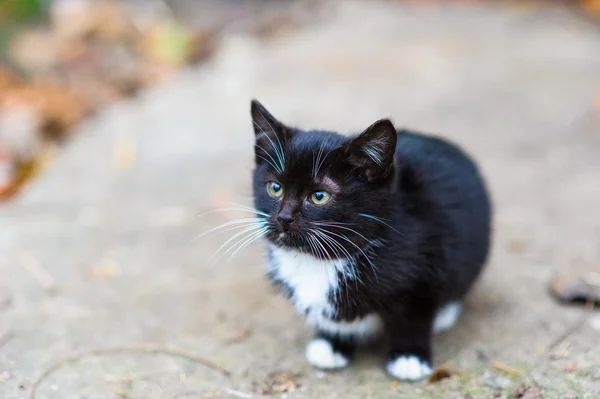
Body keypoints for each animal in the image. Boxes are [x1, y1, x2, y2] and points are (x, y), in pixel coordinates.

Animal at [251, 100, 490, 382]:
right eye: (275, 188)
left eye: (319, 196)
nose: (284, 218)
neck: (320, 259)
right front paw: (333, 343)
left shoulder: (429, 256)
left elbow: (414, 313)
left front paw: (409, 356)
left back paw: (444, 314)